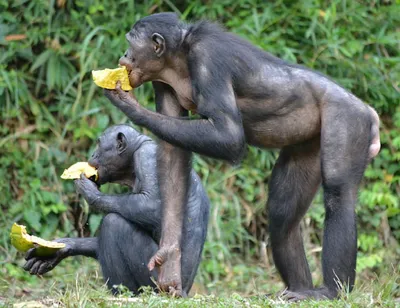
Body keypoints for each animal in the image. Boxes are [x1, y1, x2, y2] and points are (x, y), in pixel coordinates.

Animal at [22, 124, 211, 296]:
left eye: (99, 144)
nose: (92, 154)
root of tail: (184, 291)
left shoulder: (147, 157)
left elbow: (153, 204)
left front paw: (90, 192)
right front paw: (61, 248)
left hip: (158, 281)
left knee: (114, 223)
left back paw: (125, 295)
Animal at [104, 13, 382, 300]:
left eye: (130, 43)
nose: (124, 54)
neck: (179, 57)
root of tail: (368, 110)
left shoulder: (208, 59)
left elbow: (228, 135)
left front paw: (128, 103)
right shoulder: (162, 83)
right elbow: (173, 156)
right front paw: (169, 261)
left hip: (348, 118)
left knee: (338, 193)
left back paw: (331, 291)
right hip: (308, 143)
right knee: (282, 210)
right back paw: (300, 288)